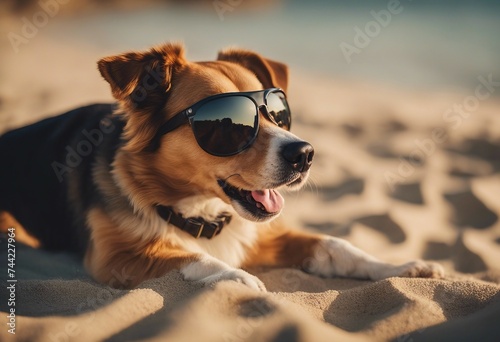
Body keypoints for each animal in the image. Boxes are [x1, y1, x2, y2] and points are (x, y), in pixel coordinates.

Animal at [0, 41, 444, 290]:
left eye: (279, 113)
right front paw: (237, 278)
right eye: (225, 125)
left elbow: (338, 246)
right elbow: (189, 257)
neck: (198, 211)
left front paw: (400, 267)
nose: (304, 154)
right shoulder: (114, 257)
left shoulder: (260, 236)